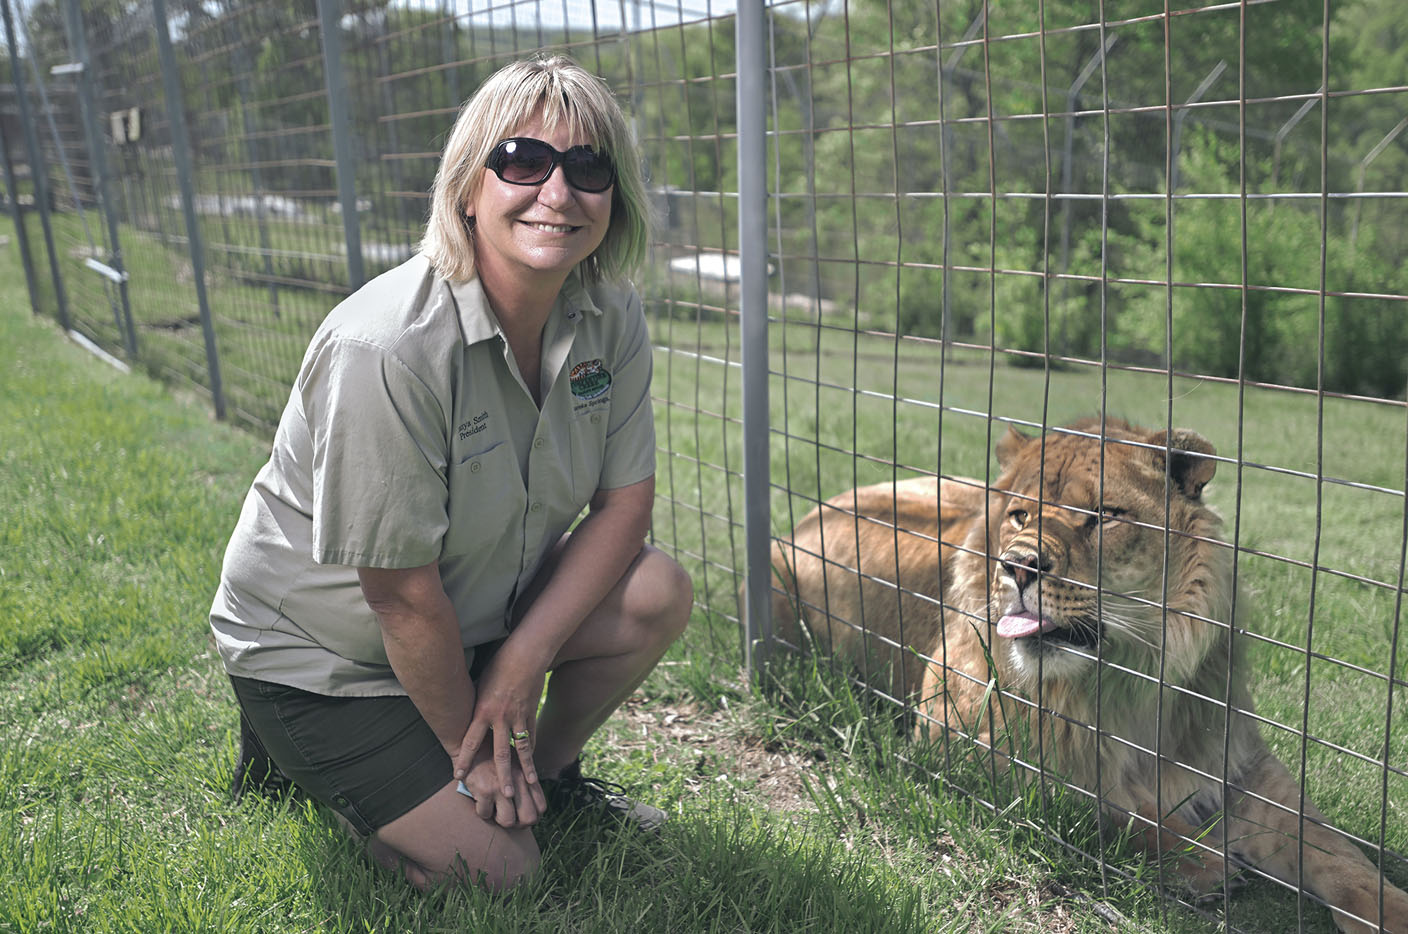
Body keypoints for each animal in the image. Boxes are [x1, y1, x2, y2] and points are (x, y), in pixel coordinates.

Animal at [765, 416, 1408, 934]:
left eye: (1103, 517)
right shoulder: (949, 745)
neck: (1124, 680)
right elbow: (1104, 806)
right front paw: (1202, 861)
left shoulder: (1242, 764)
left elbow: (1335, 850)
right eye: (1019, 515)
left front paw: (1392, 910)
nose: (1017, 566)